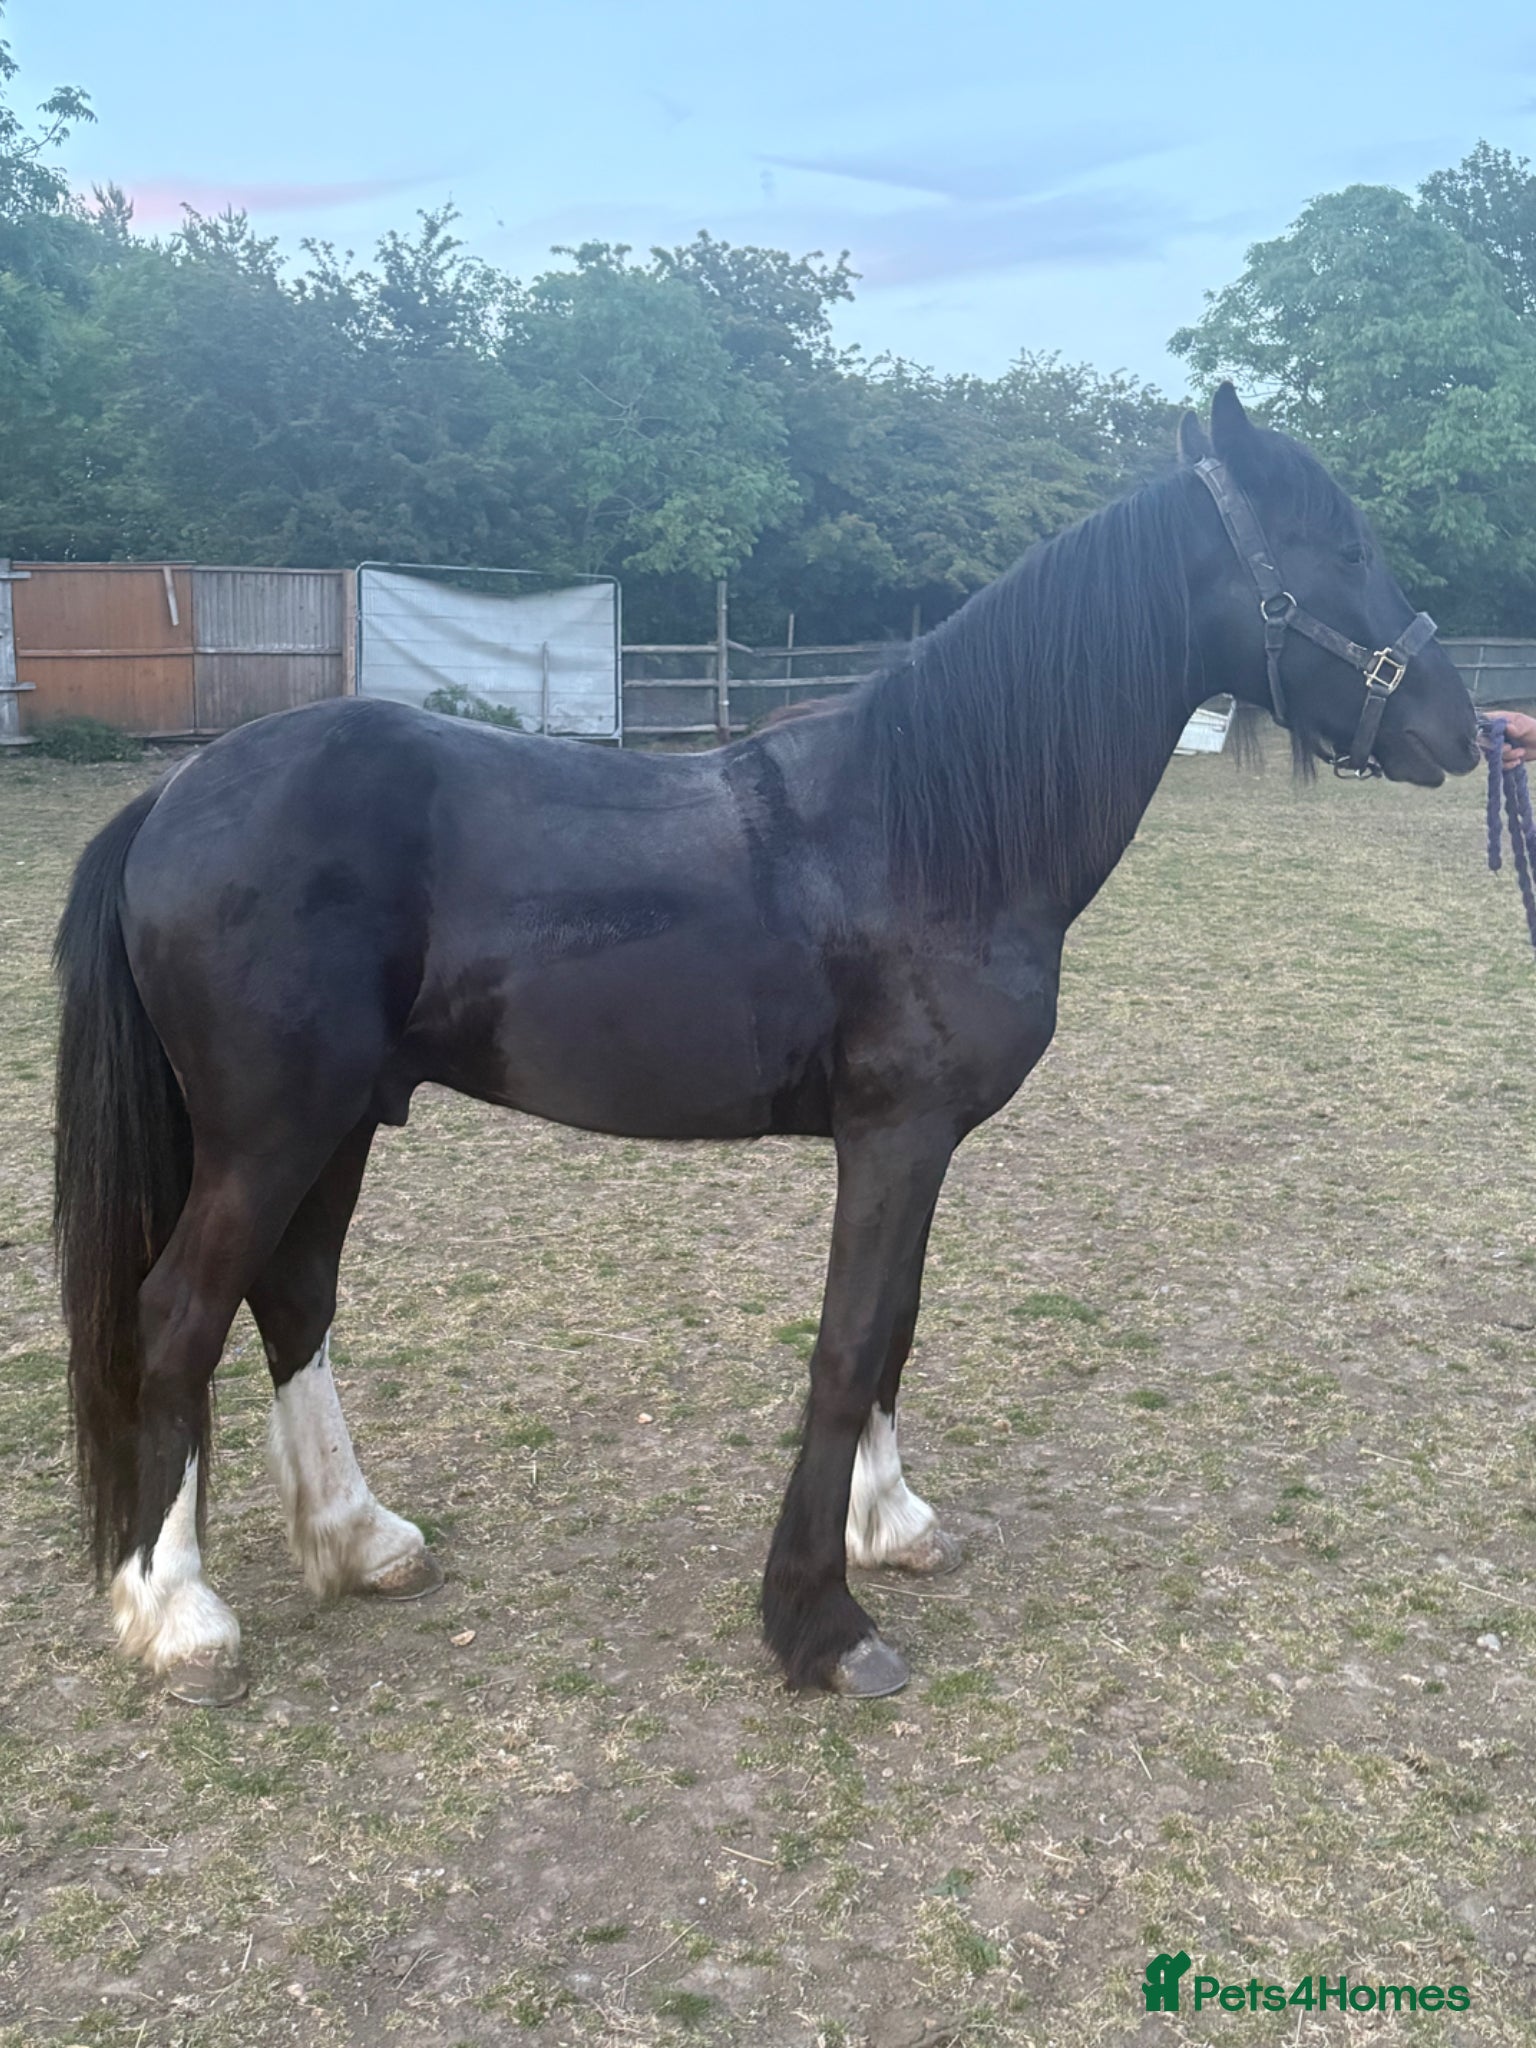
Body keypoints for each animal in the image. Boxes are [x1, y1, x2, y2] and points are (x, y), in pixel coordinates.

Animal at [53, 385, 1479, 1708]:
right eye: (1342, 546)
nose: (1460, 728)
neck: (925, 826)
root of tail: (173, 794)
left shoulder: (918, 1144)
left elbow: (896, 1323)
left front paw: (890, 1524)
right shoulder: (894, 1132)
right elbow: (847, 1345)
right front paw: (820, 1620)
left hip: (341, 1116)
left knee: (293, 1298)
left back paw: (358, 1541)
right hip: (272, 1129)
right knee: (180, 1312)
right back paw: (181, 1616)